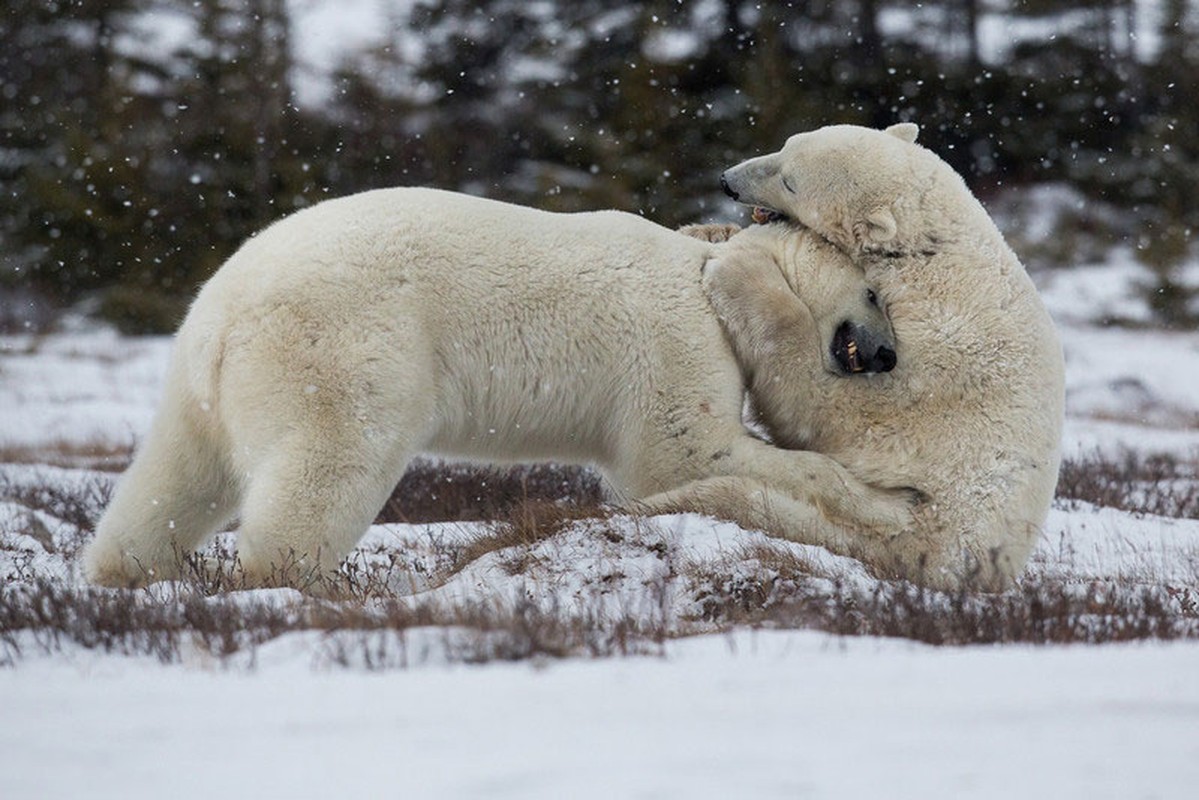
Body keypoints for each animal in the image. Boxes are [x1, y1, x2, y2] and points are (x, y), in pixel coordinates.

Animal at [86, 185, 906, 587]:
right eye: (873, 294)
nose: (888, 355)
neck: (704, 272)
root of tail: (227, 313)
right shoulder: (675, 339)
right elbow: (680, 453)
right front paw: (885, 495)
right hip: (347, 347)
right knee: (328, 464)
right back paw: (324, 585)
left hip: (198, 385)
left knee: (174, 476)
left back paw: (126, 571)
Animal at [666, 122, 1069, 592]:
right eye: (785, 146)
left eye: (790, 181)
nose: (727, 181)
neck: (929, 257)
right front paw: (708, 231)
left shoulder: (941, 359)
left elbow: (832, 409)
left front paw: (736, 270)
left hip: (920, 528)